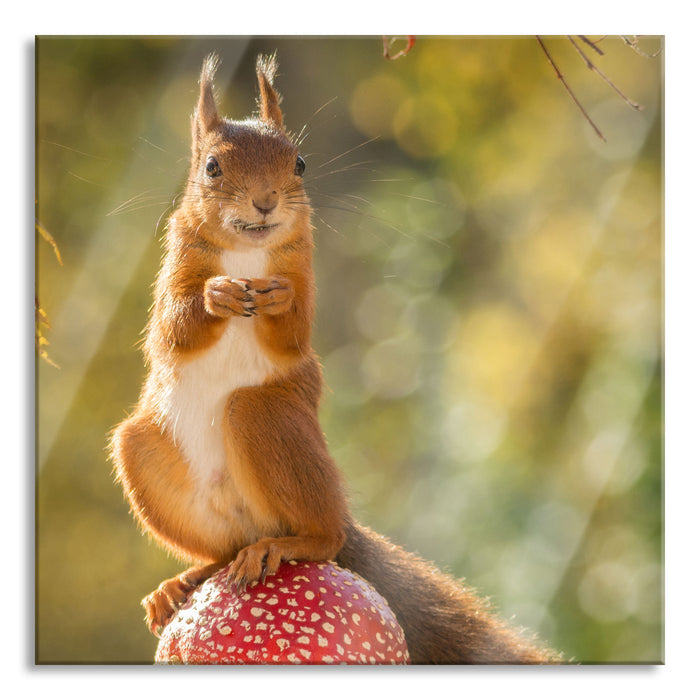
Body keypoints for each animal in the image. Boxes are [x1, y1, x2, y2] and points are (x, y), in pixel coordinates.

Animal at [109, 52, 560, 664]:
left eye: (299, 163)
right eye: (211, 168)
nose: (266, 201)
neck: (248, 252)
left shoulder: (303, 268)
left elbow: (293, 333)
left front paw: (277, 302)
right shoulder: (175, 266)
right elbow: (172, 329)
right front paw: (214, 297)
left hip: (268, 419)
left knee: (324, 536)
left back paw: (287, 544)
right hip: (144, 455)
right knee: (222, 551)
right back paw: (184, 581)